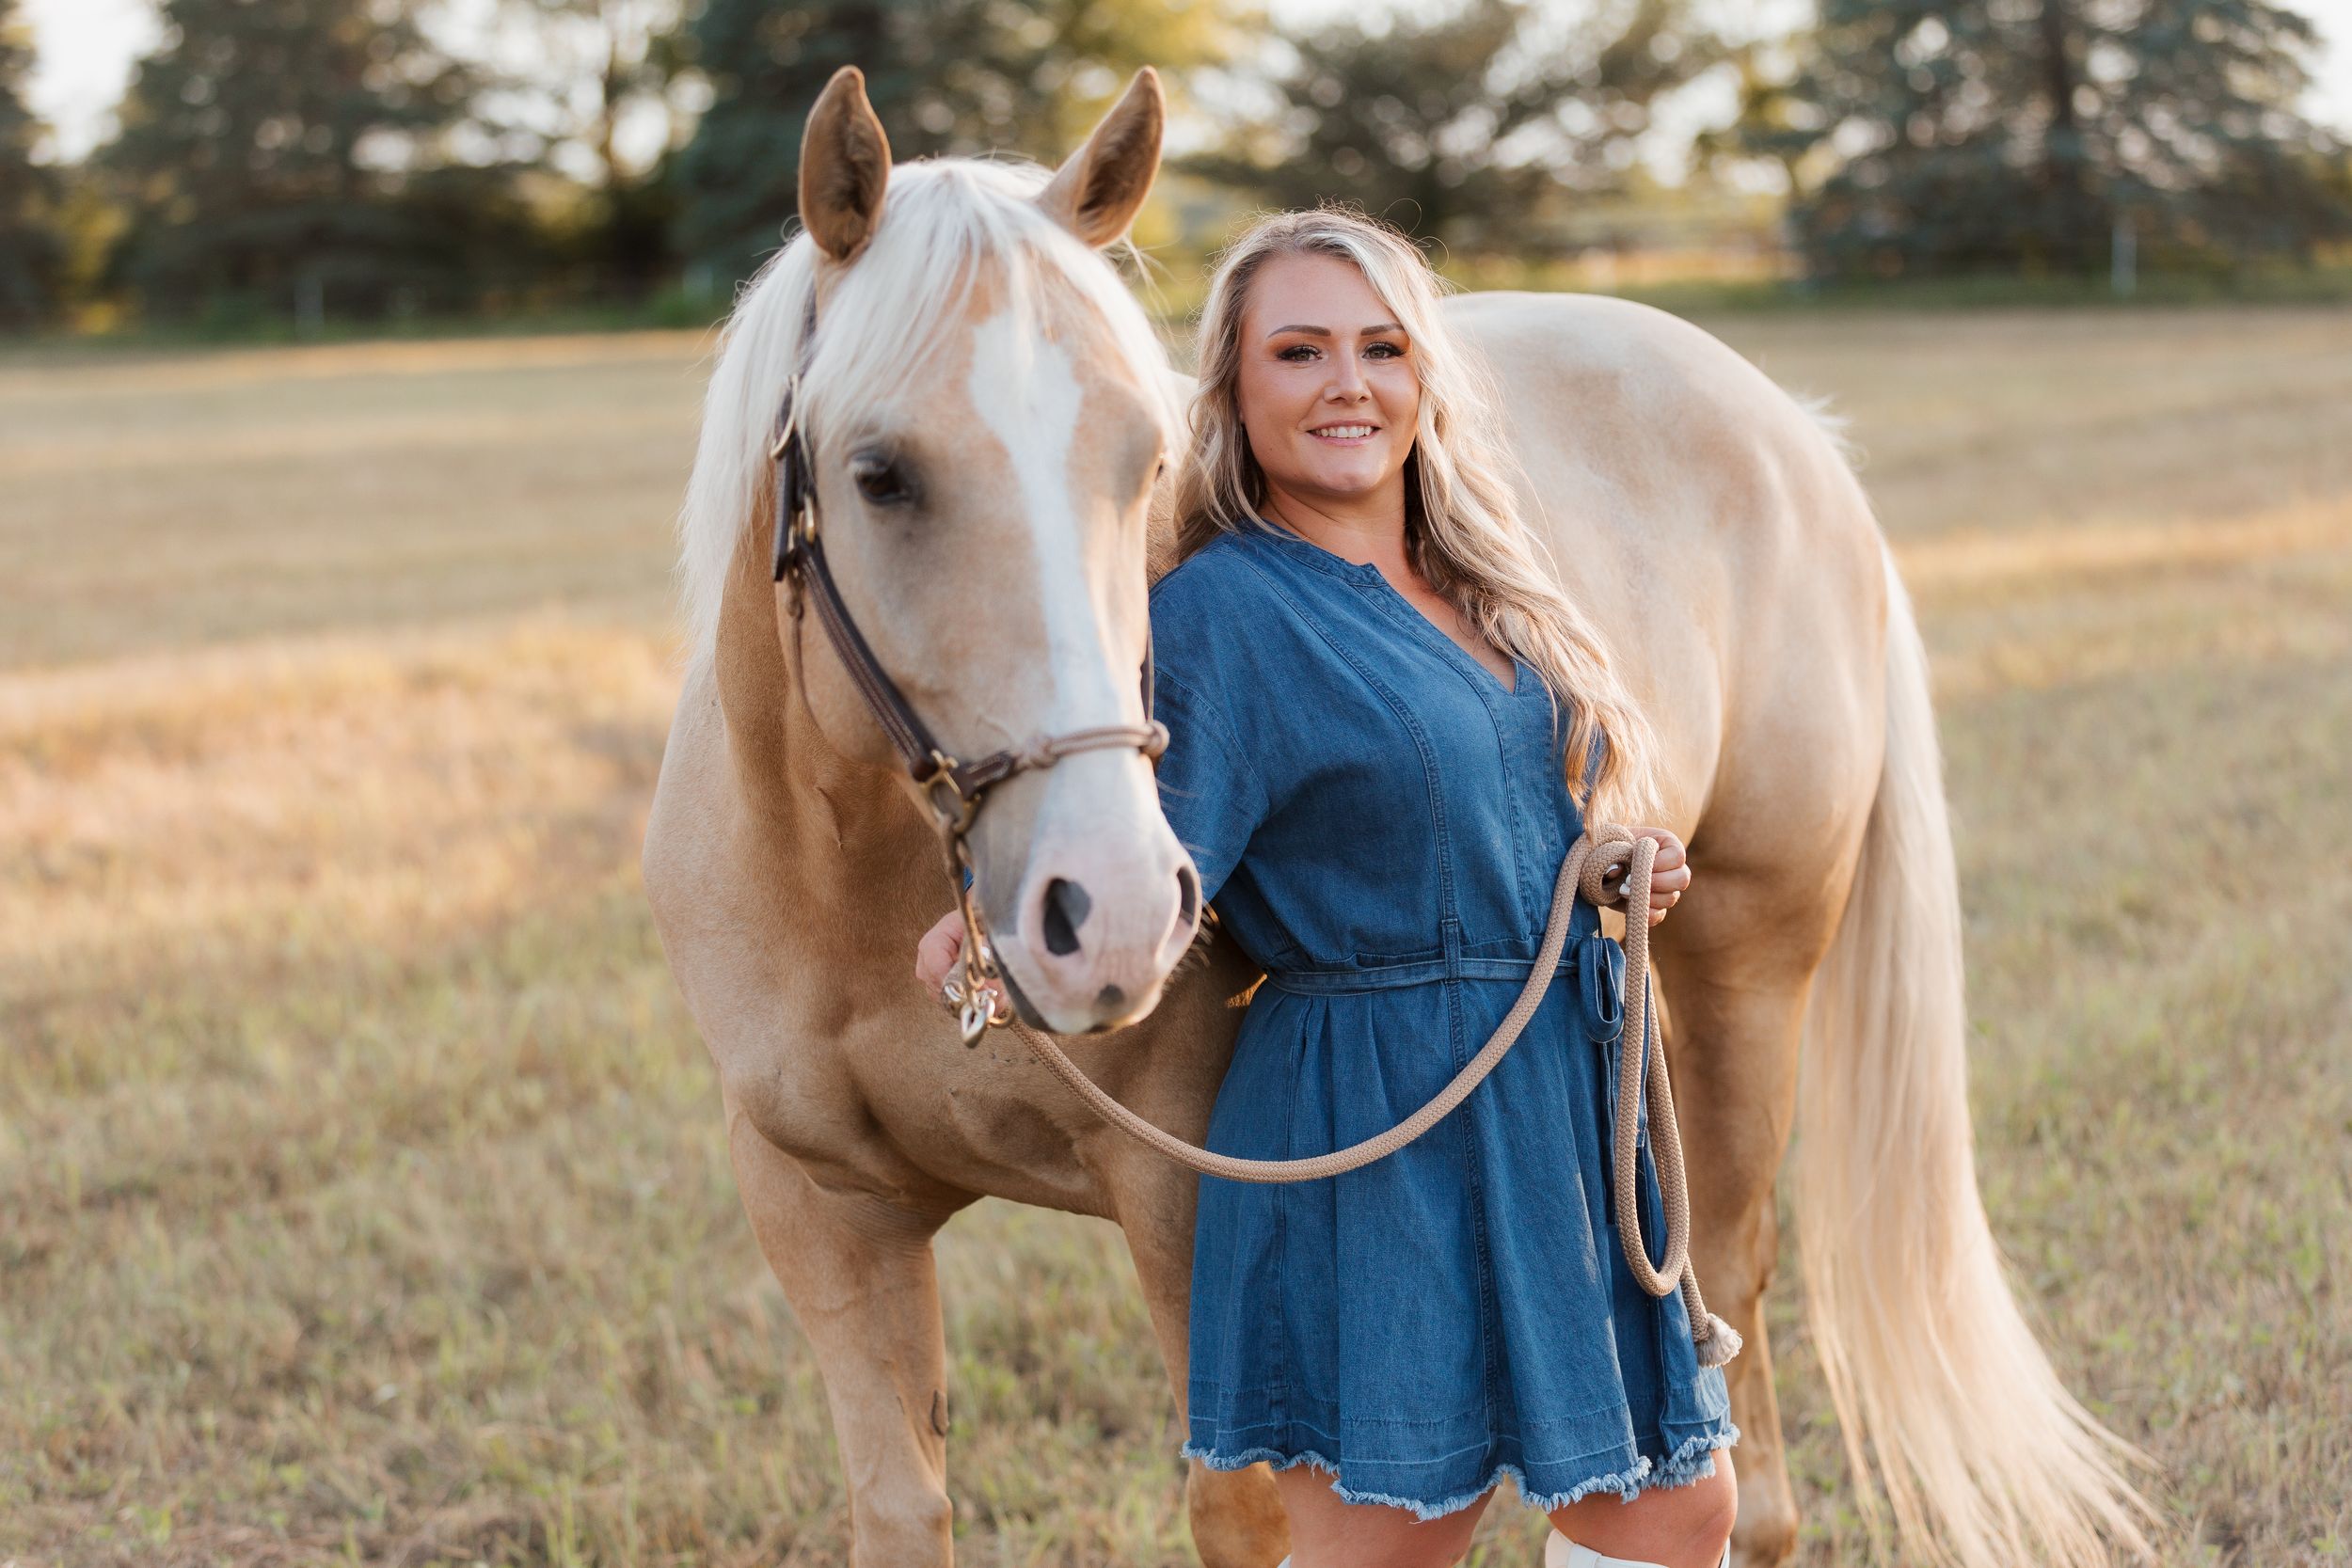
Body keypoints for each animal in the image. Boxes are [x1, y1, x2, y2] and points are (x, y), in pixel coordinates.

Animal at [642, 64, 2155, 1568]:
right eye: (880, 473)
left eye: (1143, 461)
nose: (1108, 907)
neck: (849, 881)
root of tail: (1790, 426)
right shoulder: (824, 1216)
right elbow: (900, 1500)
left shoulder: (1195, 1206)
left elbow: (1242, 1506)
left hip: (1745, 982)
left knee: (1738, 1372)